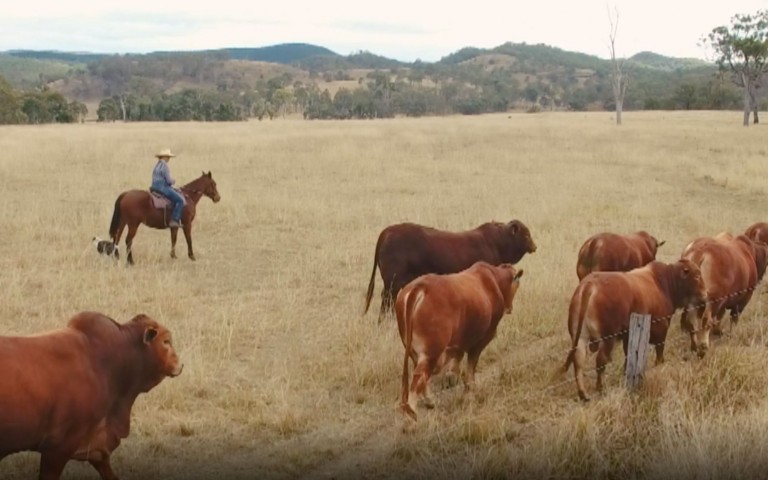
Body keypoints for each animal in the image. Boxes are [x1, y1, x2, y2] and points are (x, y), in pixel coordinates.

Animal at [364, 220, 536, 322]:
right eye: (526, 235)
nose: (534, 246)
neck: (497, 242)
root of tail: (387, 231)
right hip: (393, 282)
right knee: (387, 299)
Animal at [392, 260, 524, 422]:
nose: (510, 308)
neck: (493, 280)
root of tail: (420, 287)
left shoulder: (459, 343)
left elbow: (458, 359)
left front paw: (452, 376)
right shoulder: (480, 340)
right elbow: (471, 366)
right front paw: (470, 391)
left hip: (414, 351)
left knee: (421, 375)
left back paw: (429, 402)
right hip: (431, 353)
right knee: (419, 377)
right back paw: (412, 415)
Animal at [560, 258, 712, 402]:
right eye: (697, 276)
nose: (705, 293)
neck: (665, 284)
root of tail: (589, 284)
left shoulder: (628, 335)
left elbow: (628, 354)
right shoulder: (661, 327)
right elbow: (659, 349)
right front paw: (659, 365)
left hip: (580, 338)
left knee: (578, 362)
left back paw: (583, 393)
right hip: (608, 338)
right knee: (600, 361)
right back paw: (600, 387)